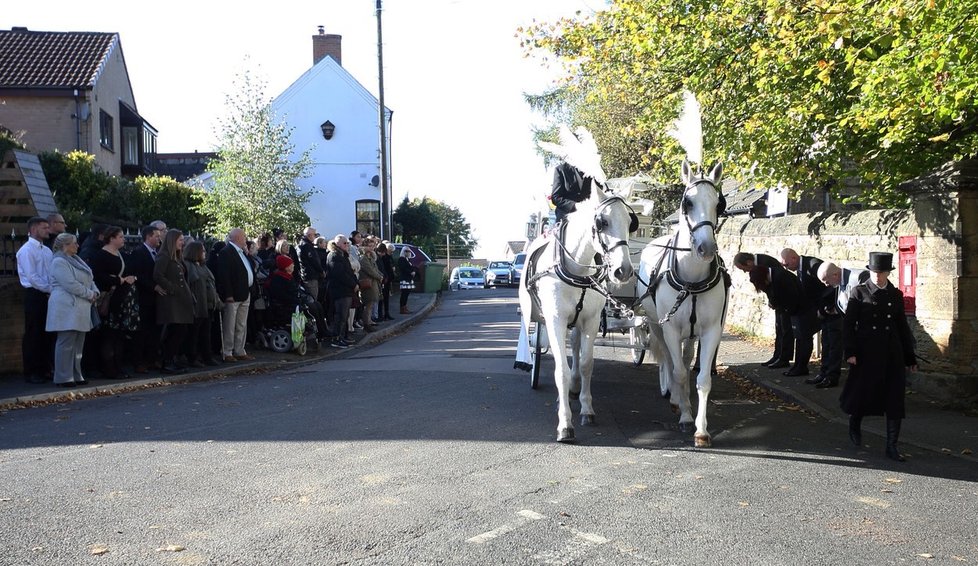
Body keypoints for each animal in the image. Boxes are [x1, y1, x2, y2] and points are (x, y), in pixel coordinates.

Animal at [524, 185, 636, 444]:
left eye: (629, 221)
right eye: (602, 222)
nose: (623, 270)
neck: (578, 269)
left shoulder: (590, 321)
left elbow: (586, 364)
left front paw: (587, 409)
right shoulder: (555, 320)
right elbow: (561, 370)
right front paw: (565, 424)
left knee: (575, 346)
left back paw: (574, 389)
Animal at [636, 162, 728, 450]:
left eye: (719, 204)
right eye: (687, 202)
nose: (706, 248)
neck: (692, 280)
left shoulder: (711, 331)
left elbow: (702, 379)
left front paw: (702, 430)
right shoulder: (671, 329)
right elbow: (677, 372)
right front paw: (686, 416)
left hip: (690, 334)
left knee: (686, 362)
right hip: (657, 325)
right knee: (669, 360)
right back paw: (677, 399)